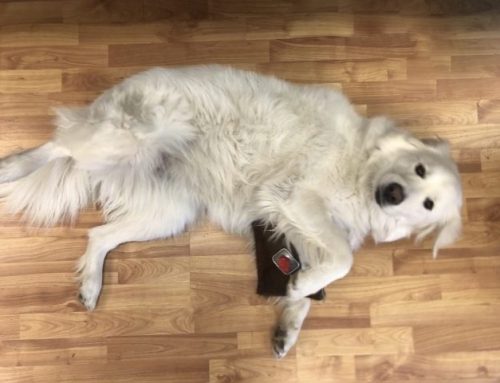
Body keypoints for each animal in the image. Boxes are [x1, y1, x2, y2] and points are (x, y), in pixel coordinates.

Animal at [0, 65, 462, 356]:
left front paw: (289, 322)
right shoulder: (295, 197)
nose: (394, 193)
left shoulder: (296, 225)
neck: (361, 172)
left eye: (428, 205)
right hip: (130, 136)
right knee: (61, 143)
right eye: (419, 168)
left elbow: (318, 280)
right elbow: (343, 260)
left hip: (169, 213)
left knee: (97, 234)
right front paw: (300, 291)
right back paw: (12, 167)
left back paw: (91, 287)